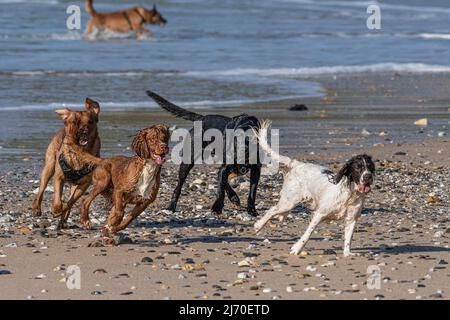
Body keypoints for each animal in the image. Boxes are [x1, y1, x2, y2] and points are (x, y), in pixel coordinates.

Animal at [32, 97, 101, 228]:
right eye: (74, 122)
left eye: (90, 122)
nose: (83, 130)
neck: (80, 152)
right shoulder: (59, 177)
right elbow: (57, 199)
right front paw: (56, 209)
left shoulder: (84, 183)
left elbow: (71, 202)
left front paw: (66, 212)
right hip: (49, 167)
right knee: (41, 191)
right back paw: (37, 209)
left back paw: (63, 220)